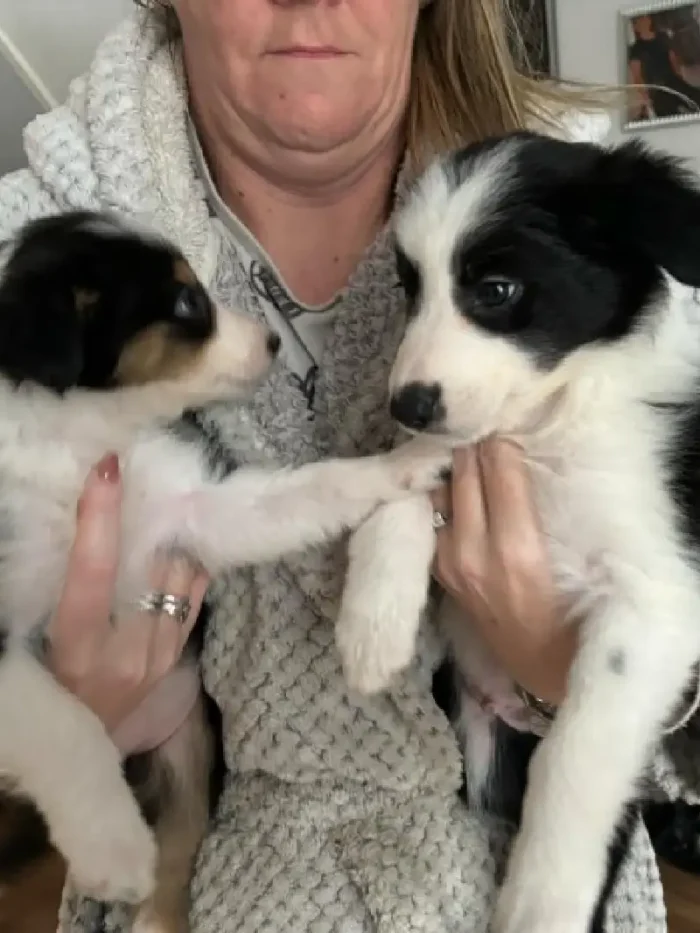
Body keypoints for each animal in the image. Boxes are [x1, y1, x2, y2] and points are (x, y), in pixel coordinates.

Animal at [338, 133, 700, 932]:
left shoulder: (657, 601)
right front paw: (371, 626)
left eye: (497, 290)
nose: (406, 403)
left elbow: (577, 756)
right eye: (411, 290)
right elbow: (404, 481)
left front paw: (543, 898)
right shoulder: (458, 451)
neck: (547, 426)